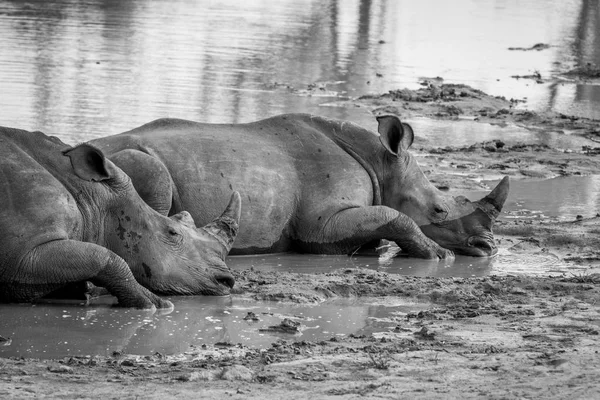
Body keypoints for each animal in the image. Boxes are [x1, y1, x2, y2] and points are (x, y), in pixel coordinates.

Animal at [2, 126, 241, 308]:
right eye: (172, 232)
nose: (227, 281)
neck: (90, 199)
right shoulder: (24, 256)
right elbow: (105, 257)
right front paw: (152, 302)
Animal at [91, 113, 508, 260]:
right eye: (439, 210)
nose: (487, 248)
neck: (381, 164)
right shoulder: (321, 224)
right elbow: (396, 216)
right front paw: (439, 255)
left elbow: (384, 221)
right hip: (124, 160)